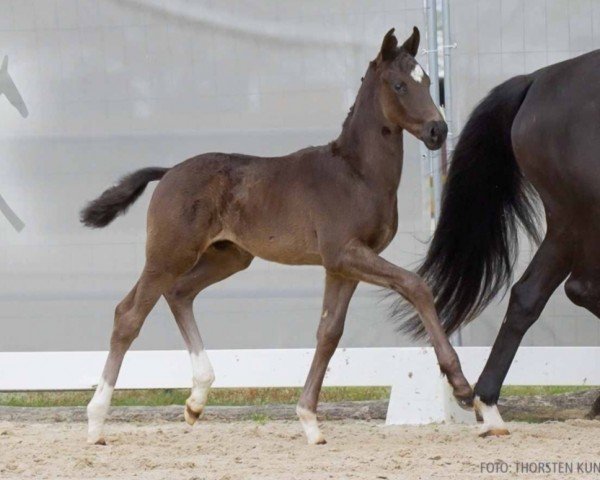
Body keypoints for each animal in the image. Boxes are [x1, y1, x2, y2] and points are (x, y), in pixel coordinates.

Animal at [81, 26, 474, 446]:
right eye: (399, 85)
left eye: (428, 82)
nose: (437, 130)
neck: (357, 174)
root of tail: (168, 171)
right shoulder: (344, 253)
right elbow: (416, 285)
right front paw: (462, 387)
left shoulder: (342, 266)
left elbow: (329, 332)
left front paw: (310, 420)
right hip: (168, 254)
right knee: (129, 314)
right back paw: (96, 421)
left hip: (229, 256)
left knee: (180, 293)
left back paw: (197, 399)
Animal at [396, 50, 600, 436]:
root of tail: (538, 79)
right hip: (577, 216)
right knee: (572, 289)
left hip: (569, 221)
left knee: (531, 295)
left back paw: (487, 404)